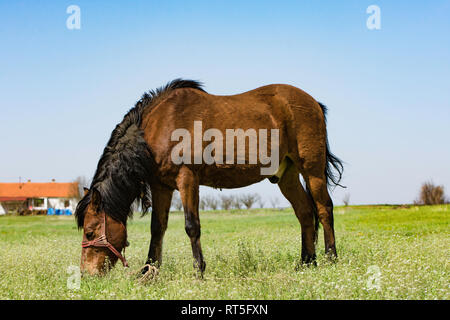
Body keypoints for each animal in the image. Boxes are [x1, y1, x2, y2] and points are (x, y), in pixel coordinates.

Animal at [74, 79, 342, 276]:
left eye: (90, 233)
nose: (87, 274)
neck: (158, 126)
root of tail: (314, 103)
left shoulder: (187, 179)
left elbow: (192, 226)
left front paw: (199, 271)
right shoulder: (161, 186)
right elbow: (157, 228)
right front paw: (149, 270)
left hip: (312, 170)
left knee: (324, 209)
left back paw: (331, 258)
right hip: (286, 175)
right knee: (305, 213)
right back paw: (306, 262)